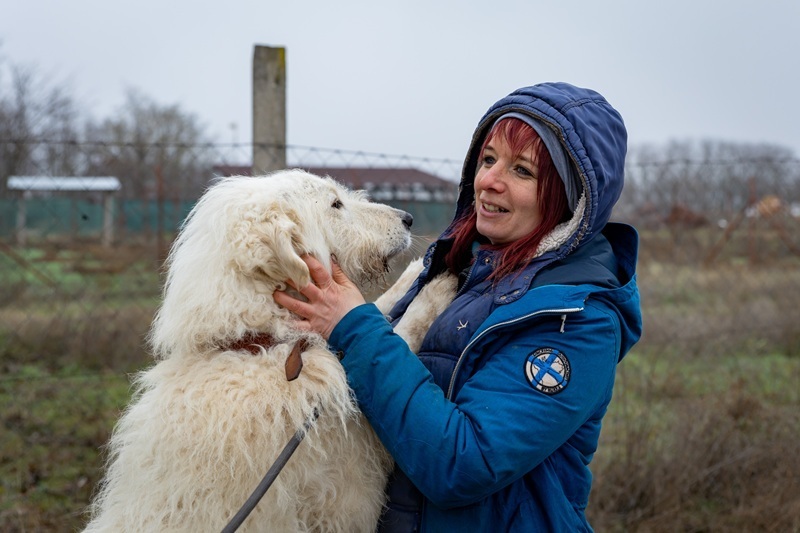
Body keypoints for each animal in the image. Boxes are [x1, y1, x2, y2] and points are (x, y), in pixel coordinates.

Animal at [83, 169, 457, 532]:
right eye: (336, 204)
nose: (408, 218)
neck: (260, 344)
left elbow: (376, 311)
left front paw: (417, 272)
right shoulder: (363, 438)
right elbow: (397, 335)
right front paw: (437, 288)